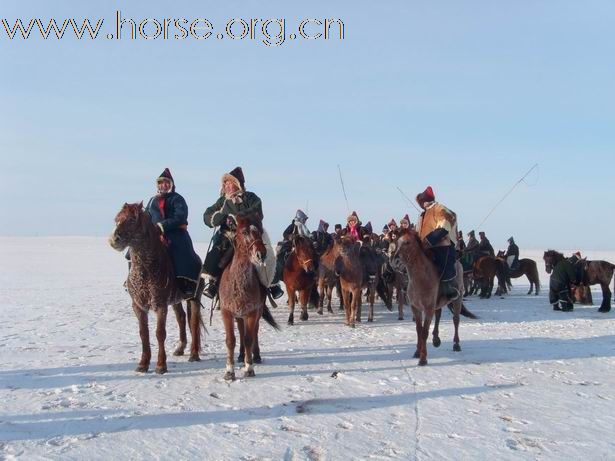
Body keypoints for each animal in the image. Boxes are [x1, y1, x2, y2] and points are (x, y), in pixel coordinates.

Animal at [109, 202, 205, 374]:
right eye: (117, 219)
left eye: (132, 219)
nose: (114, 239)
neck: (147, 269)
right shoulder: (138, 306)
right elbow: (143, 334)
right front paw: (143, 364)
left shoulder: (160, 305)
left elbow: (160, 333)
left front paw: (161, 365)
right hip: (176, 301)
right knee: (181, 318)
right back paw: (180, 348)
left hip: (194, 297)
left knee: (193, 323)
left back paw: (194, 354)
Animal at [219, 214, 282, 380]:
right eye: (244, 232)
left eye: (259, 232)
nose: (261, 253)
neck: (238, 284)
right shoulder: (227, 312)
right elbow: (231, 340)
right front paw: (229, 371)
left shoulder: (252, 313)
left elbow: (249, 339)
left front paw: (249, 368)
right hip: (239, 315)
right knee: (241, 331)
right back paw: (241, 355)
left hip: (255, 313)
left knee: (254, 332)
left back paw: (256, 356)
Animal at [392, 228, 470, 364]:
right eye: (397, 242)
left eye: (407, 242)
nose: (395, 261)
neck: (421, 278)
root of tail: (458, 262)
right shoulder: (416, 308)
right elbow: (419, 330)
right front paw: (417, 352)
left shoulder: (428, 309)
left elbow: (424, 331)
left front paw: (423, 358)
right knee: (438, 315)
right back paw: (436, 339)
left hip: (457, 299)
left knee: (456, 320)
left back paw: (456, 344)